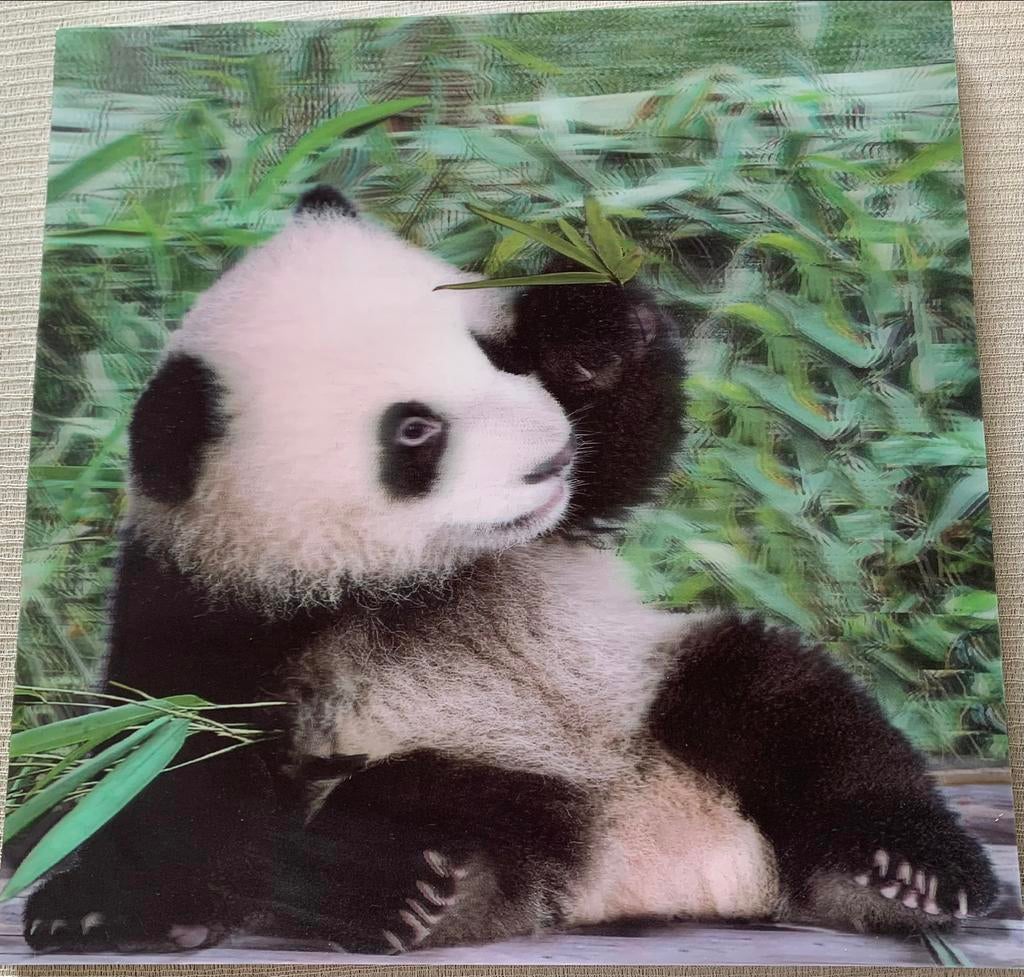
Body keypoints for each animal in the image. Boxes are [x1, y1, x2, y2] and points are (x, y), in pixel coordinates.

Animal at [24, 186, 997, 954]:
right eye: (416, 429)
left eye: (489, 355)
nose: (547, 456)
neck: (403, 577)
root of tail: (657, 856)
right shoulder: (213, 597)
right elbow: (171, 748)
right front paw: (95, 906)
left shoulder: (555, 531)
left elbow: (624, 444)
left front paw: (590, 307)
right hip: (482, 765)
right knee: (393, 815)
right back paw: (422, 886)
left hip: (652, 689)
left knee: (794, 707)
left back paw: (905, 871)